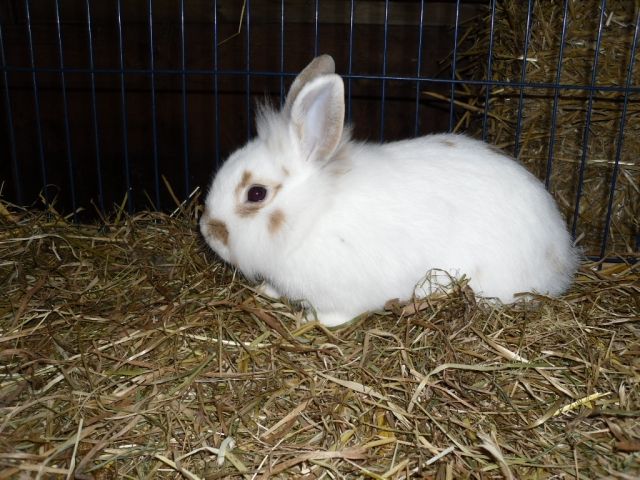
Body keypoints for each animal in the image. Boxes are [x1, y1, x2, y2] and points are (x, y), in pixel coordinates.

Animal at [200, 54, 578, 327]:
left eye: (256, 194)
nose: (206, 229)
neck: (309, 216)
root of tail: (561, 254)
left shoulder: (342, 291)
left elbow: (337, 314)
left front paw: (309, 320)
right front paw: (267, 290)